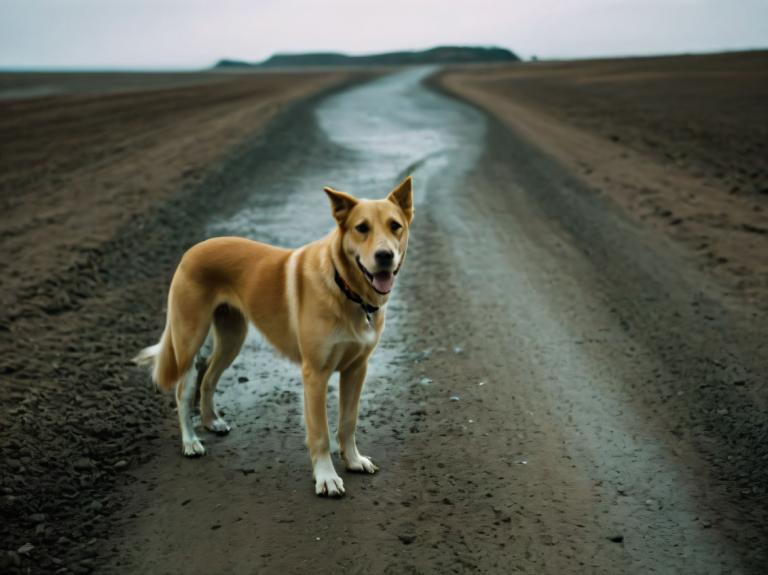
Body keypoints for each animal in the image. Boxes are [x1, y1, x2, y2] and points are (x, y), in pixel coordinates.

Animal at [132, 176, 414, 496]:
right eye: (362, 228)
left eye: (395, 226)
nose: (385, 256)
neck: (346, 288)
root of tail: (192, 250)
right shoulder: (315, 375)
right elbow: (321, 433)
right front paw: (326, 477)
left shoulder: (356, 369)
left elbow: (348, 422)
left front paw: (353, 460)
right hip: (188, 339)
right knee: (183, 389)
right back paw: (190, 441)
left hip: (232, 337)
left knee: (209, 378)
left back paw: (211, 421)